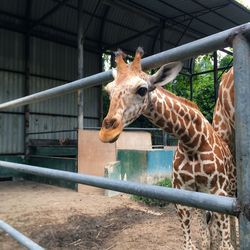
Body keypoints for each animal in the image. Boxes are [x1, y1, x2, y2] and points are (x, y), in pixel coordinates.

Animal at [99, 48, 236, 250]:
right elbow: (195, 242)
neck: (192, 142)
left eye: (142, 89)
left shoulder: (219, 192)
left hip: (231, 188)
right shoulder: (183, 193)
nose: (107, 132)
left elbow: (226, 244)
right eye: (108, 91)